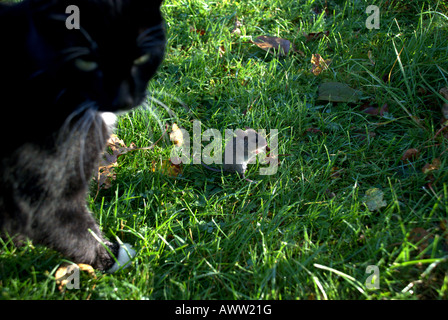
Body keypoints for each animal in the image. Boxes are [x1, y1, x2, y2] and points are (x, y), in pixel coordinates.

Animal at [0, 0, 166, 272]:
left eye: (141, 56)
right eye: (85, 61)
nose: (123, 99)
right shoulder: (42, 196)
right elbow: (80, 233)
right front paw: (115, 257)